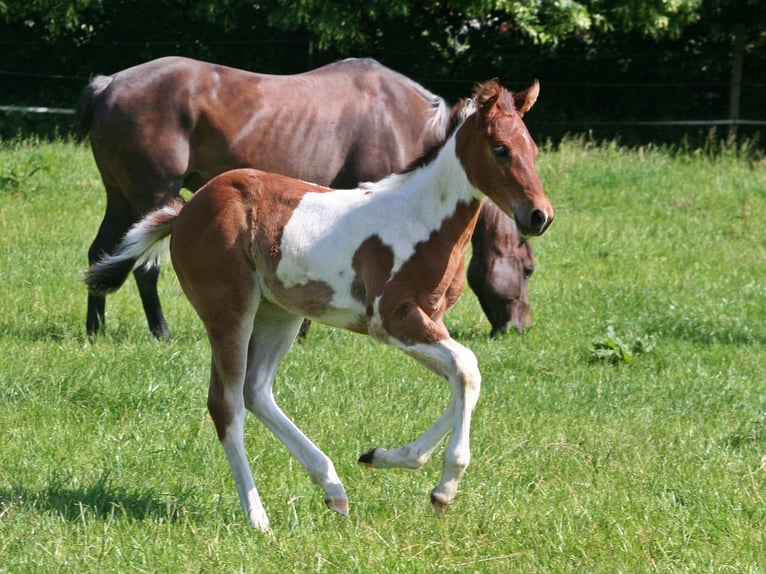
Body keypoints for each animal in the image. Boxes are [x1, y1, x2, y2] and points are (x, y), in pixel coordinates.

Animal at [76, 56, 453, 340]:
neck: (401, 118)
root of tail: (109, 83)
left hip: (121, 199)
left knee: (101, 252)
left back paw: (95, 329)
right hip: (152, 197)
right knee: (146, 267)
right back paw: (161, 332)